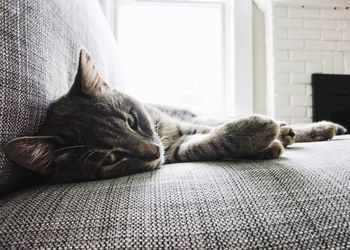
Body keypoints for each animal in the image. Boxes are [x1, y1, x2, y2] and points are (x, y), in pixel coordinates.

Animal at [3, 49, 348, 184]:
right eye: (110, 157)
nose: (154, 151)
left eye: (132, 120)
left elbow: (212, 130)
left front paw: (268, 132)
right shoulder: (178, 149)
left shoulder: (181, 126)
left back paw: (309, 129)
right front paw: (263, 139)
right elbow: (207, 144)